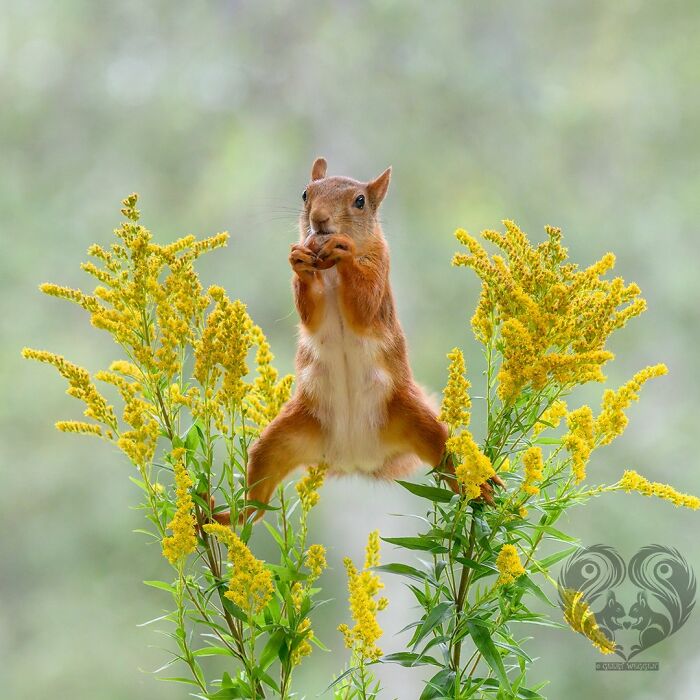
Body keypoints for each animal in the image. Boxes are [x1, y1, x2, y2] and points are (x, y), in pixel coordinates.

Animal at [214, 158, 500, 523]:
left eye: (360, 201)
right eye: (305, 193)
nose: (319, 219)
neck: (332, 271)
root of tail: (355, 459)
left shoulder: (380, 269)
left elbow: (362, 307)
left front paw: (345, 252)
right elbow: (310, 312)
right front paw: (299, 261)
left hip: (419, 422)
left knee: (449, 456)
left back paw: (481, 486)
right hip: (279, 440)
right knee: (253, 507)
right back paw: (217, 517)